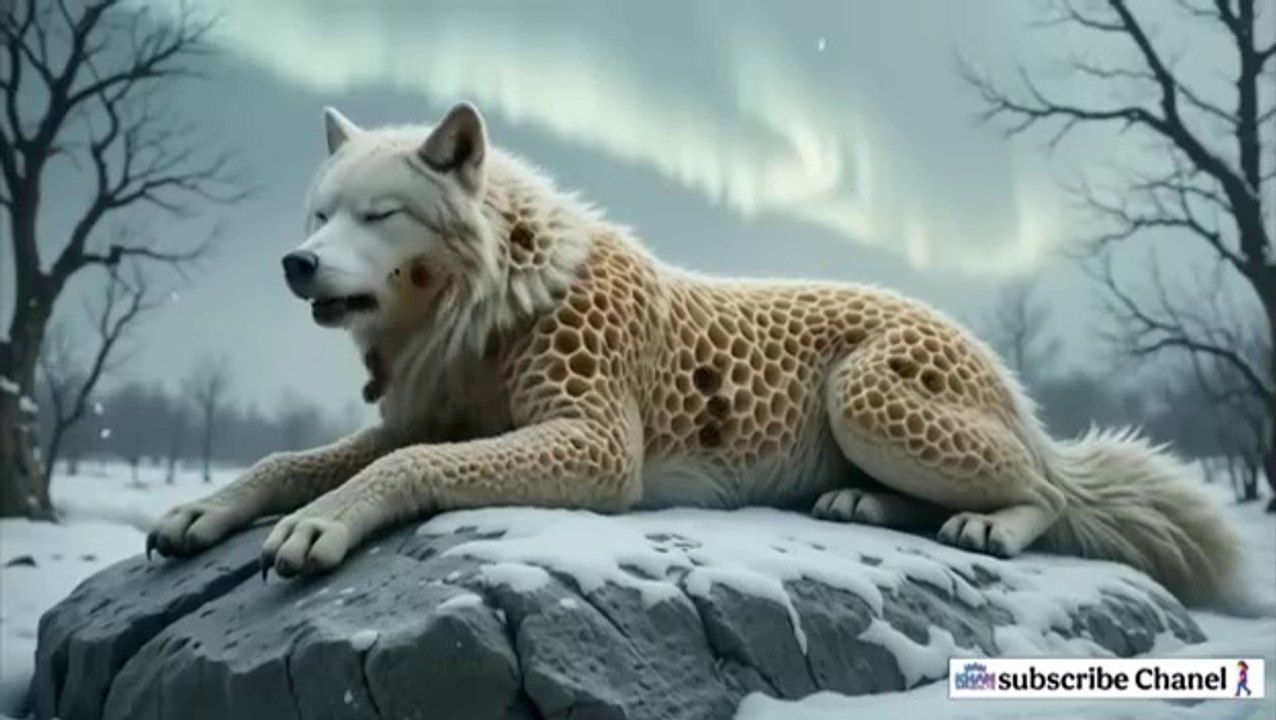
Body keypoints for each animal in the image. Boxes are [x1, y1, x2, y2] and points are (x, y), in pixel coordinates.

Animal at [148, 102, 1242, 608]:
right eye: (318, 215)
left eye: (379, 216)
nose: (294, 264)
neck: (496, 303)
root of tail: (993, 361)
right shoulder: (432, 416)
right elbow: (295, 457)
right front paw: (207, 511)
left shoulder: (595, 448)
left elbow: (403, 466)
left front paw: (320, 525)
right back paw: (861, 507)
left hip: (865, 396)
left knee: (1050, 494)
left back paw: (989, 526)